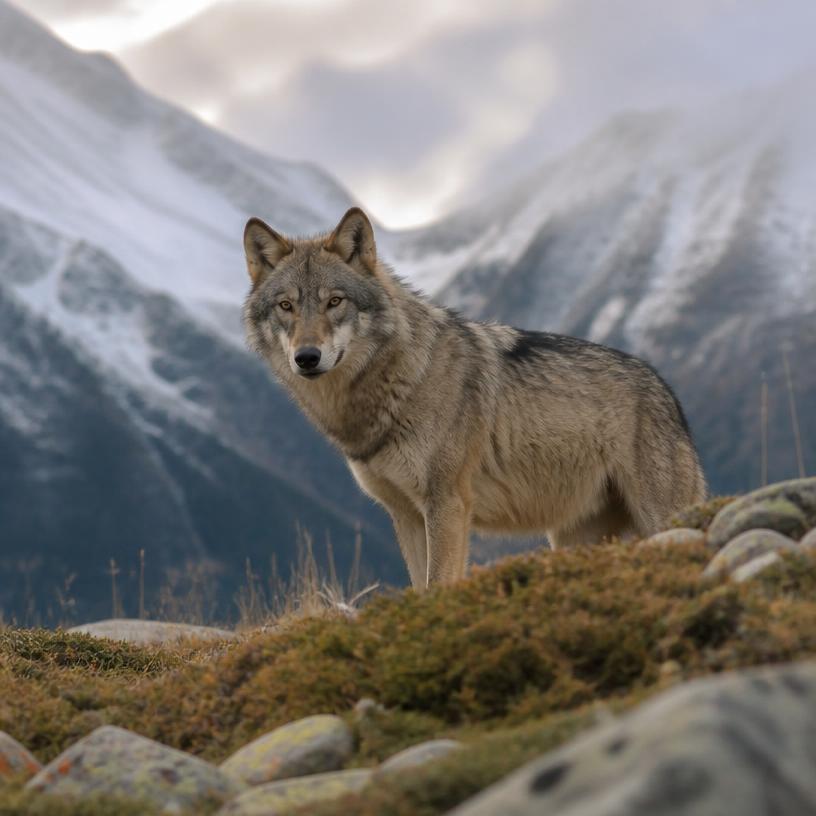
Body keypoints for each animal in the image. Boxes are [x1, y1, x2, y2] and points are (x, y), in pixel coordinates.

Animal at [243, 208, 706, 589]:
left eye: (334, 302)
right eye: (286, 306)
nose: (306, 357)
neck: (399, 381)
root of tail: (666, 391)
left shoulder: (447, 504)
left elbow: (438, 585)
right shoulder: (406, 515)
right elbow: (419, 588)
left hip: (657, 517)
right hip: (571, 537)